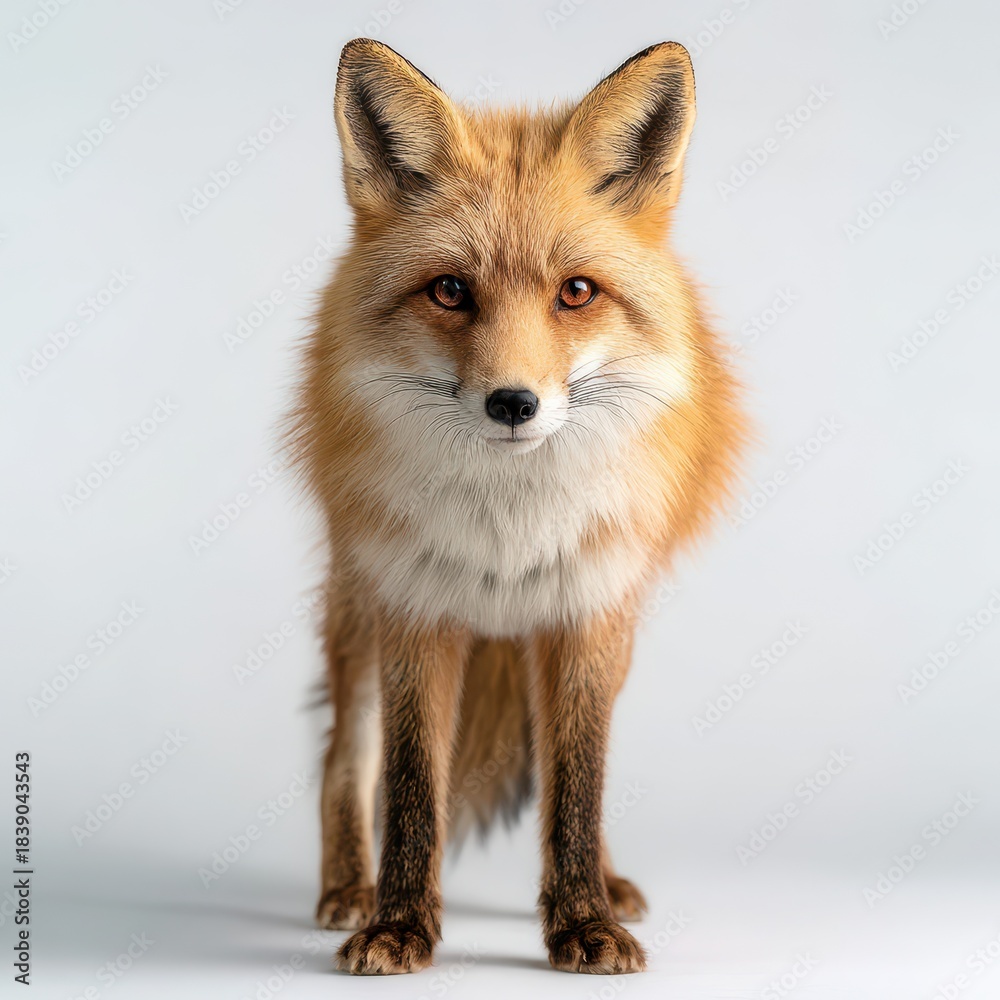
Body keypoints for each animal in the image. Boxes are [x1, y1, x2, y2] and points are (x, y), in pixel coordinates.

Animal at [287, 38, 747, 976]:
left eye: (576, 292)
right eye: (450, 291)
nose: (512, 404)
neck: (509, 530)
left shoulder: (586, 616)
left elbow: (578, 788)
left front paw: (582, 920)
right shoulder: (415, 610)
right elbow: (410, 787)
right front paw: (397, 925)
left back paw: (607, 882)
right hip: (358, 611)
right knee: (343, 754)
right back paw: (348, 885)